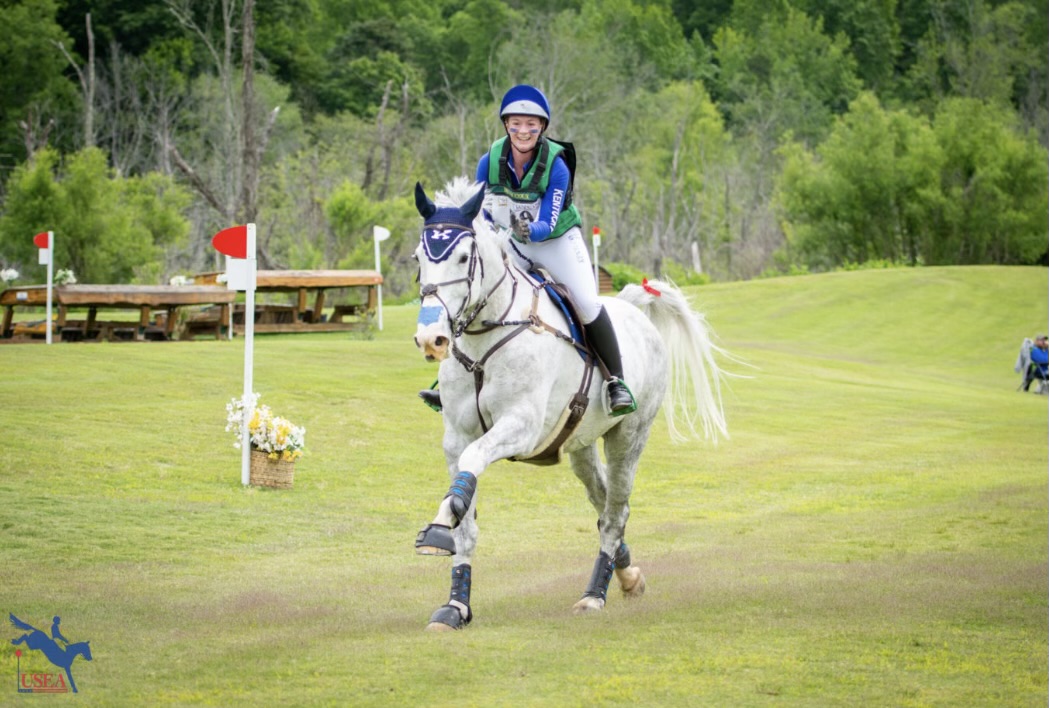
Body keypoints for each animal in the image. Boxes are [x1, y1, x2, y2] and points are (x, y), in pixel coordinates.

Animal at [411, 178, 730, 633]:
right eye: (418, 257)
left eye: (462, 256)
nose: (431, 339)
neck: (486, 334)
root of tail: (634, 310)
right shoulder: (455, 437)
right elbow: (466, 518)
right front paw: (455, 605)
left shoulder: (521, 426)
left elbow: (472, 468)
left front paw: (438, 527)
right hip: (580, 445)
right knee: (603, 503)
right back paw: (627, 574)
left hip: (628, 438)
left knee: (615, 513)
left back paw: (594, 594)